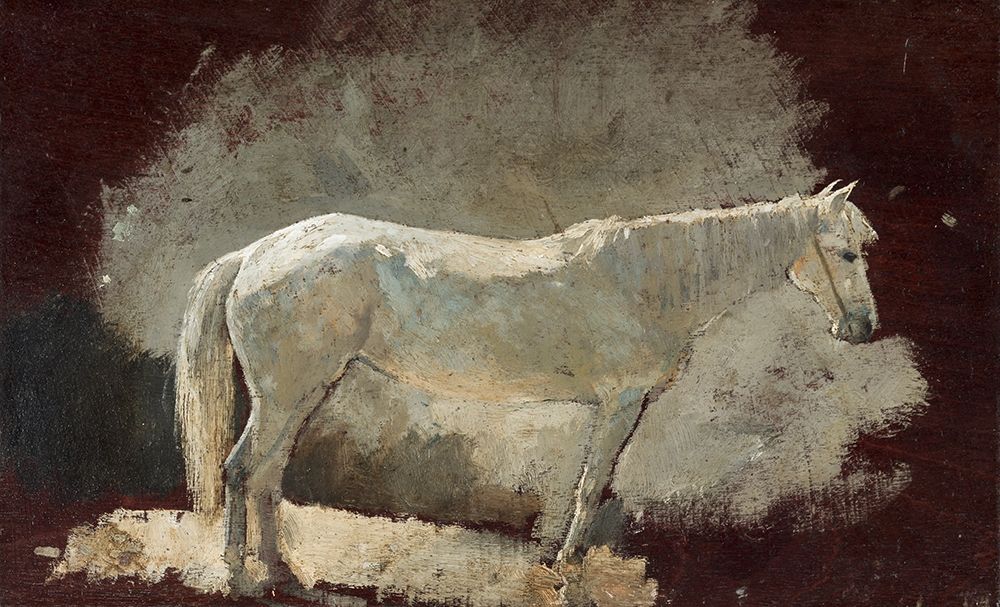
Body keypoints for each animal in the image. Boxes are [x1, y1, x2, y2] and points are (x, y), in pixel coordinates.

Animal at [174, 181, 877, 595]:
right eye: (847, 253)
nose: (864, 327)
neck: (646, 281)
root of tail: (255, 254)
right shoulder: (620, 403)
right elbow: (592, 484)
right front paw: (566, 564)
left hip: (299, 394)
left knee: (268, 475)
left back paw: (282, 571)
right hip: (286, 395)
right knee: (242, 470)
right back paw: (240, 575)